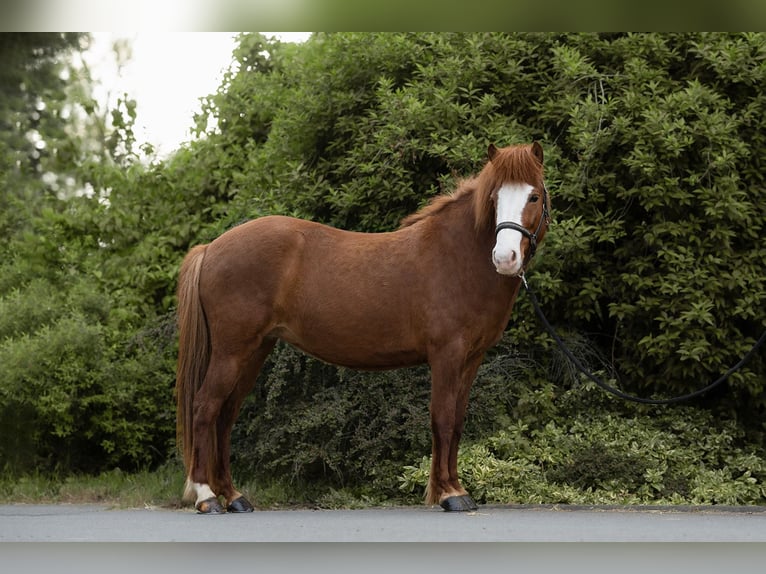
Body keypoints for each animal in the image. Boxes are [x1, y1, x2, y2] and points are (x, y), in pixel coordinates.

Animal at [176, 142, 552, 516]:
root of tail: (211, 248)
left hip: (254, 351)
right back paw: (207, 496)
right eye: (494, 198)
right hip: (231, 352)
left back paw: (234, 496)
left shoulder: (471, 359)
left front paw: (457, 488)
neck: (457, 257)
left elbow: (458, 422)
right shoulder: (447, 355)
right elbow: (442, 418)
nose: (505, 258)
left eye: (533, 196)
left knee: (225, 416)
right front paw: (448, 494)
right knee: (204, 408)